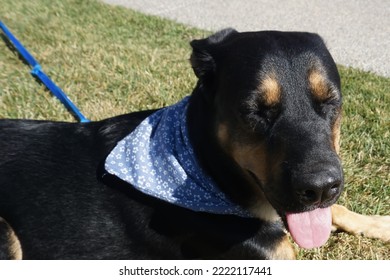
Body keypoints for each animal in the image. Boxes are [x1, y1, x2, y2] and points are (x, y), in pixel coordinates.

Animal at [0, 29, 390, 260]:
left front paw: (378, 223)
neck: (204, 167)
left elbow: (336, 210)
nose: (320, 188)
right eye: (254, 110)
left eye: (331, 101)